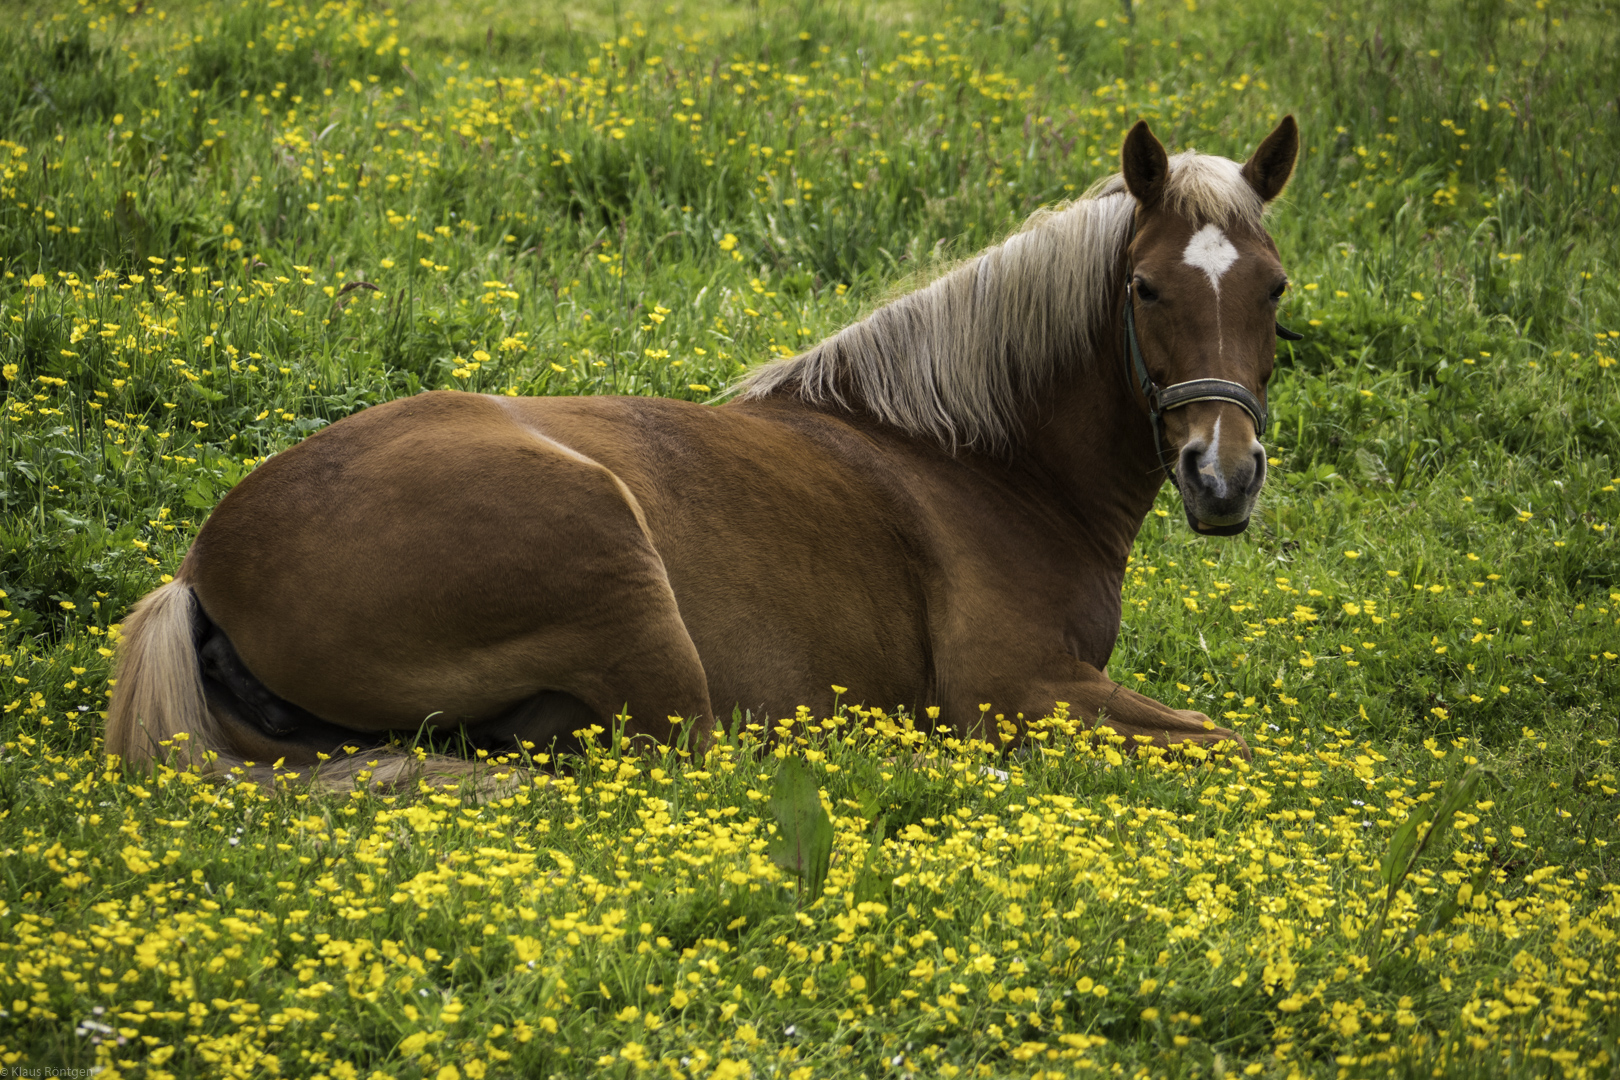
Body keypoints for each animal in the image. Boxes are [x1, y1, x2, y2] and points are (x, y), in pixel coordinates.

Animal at [104, 118, 1302, 790]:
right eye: (1145, 289)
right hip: (620, 574)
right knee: (683, 760)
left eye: (1275, 289)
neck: (973, 465)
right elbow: (1233, 740)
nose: (1223, 476)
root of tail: (202, 568)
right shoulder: (1019, 691)